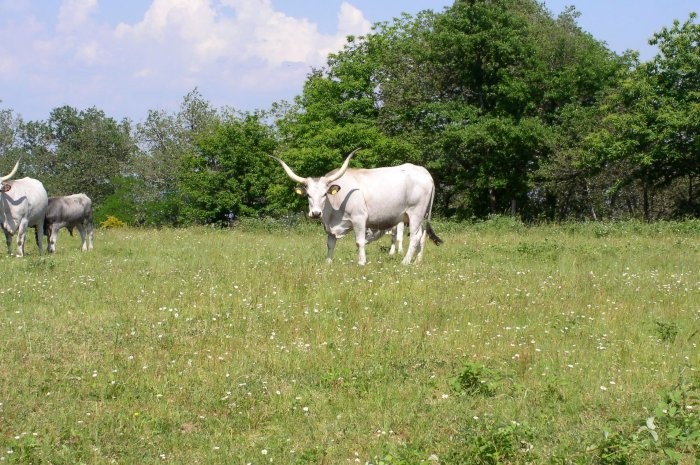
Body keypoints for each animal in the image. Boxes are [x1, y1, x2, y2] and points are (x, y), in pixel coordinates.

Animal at [270, 150, 440, 264]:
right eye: (308, 195)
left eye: (325, 194)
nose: (316, 213)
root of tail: (425, 173)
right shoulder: (330, 228)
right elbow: (330, 244)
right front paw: (328, 263)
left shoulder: (359, 219)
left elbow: (360, 241)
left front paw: (361, 262)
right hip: (421, 216)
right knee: (422, 236)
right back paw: (417, 261)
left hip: (415, 213)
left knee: (415, 237)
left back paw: (405, 262)